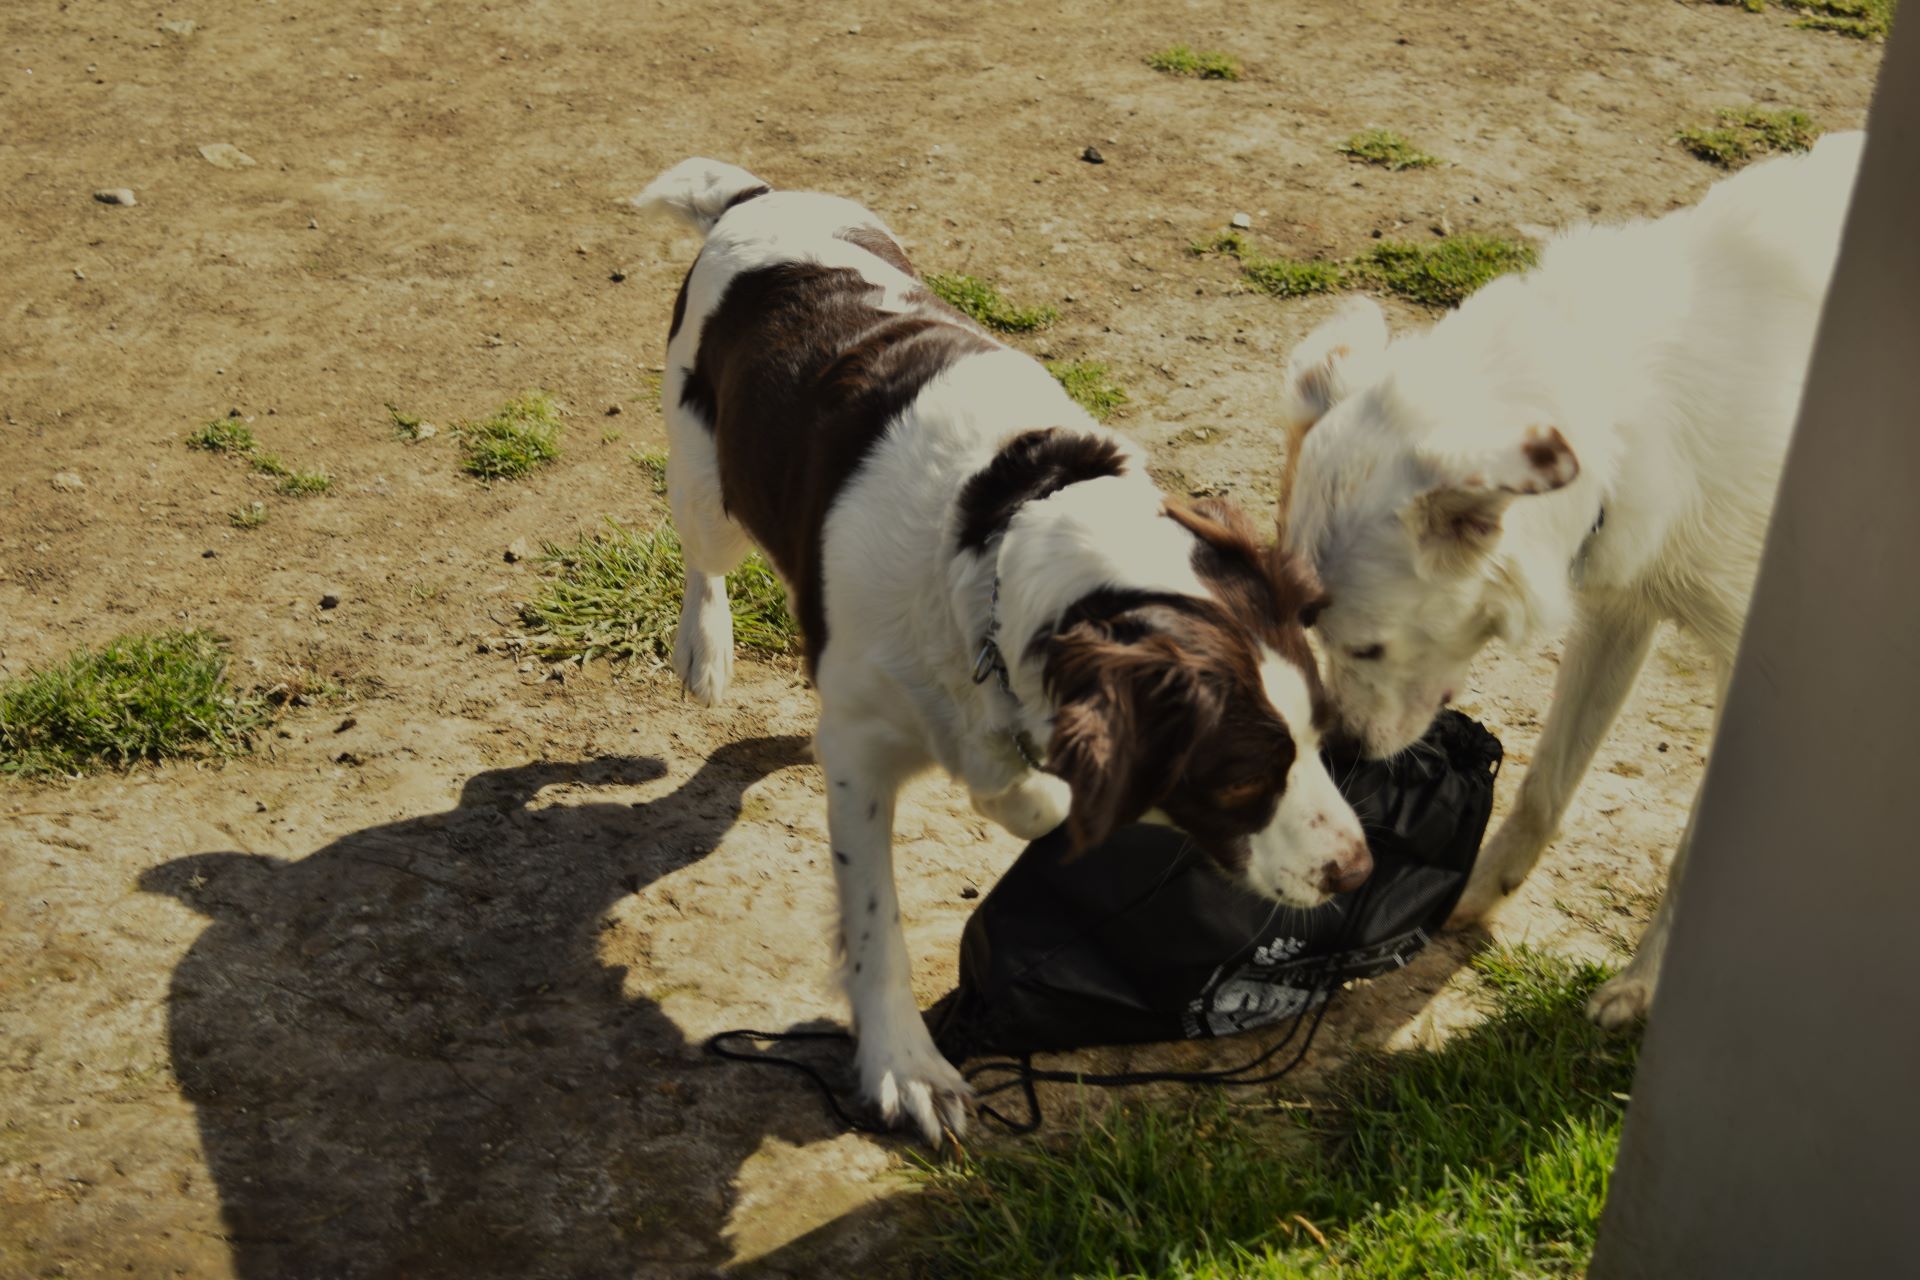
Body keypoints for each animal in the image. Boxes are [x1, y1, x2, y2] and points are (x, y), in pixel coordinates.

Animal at [629, 155, 1367, 1143]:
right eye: (1243, 776)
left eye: (1325, 735)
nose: (1358, 869)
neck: (1004, 532)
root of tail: (754, 198)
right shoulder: (862, 748)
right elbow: (879, 921)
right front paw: (905, 1069)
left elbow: (1016, 780)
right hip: (709, 486)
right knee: (705, 559)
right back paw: (703, 648)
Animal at [1274, 135, 1858, 1028]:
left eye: (1368, 646)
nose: (1339, 750)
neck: (1633, 413)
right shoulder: (1620, 611)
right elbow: (1545, 786)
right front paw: (1475, 893)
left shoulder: (1752, 676)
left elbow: (1693, 856)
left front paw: (1643, 987)